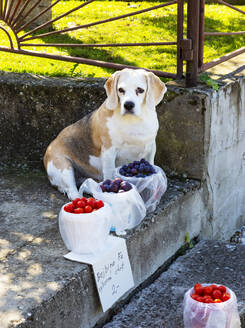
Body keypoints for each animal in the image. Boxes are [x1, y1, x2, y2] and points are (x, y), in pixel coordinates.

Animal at [43, 68, 167, 199]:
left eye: (140, 90)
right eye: (121, 90)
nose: (128, 105)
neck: (133, 122)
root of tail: (48, 149)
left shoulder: (151, 148)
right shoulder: (109, 152)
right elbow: (109, 174)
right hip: (63, 167)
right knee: (71, 190)